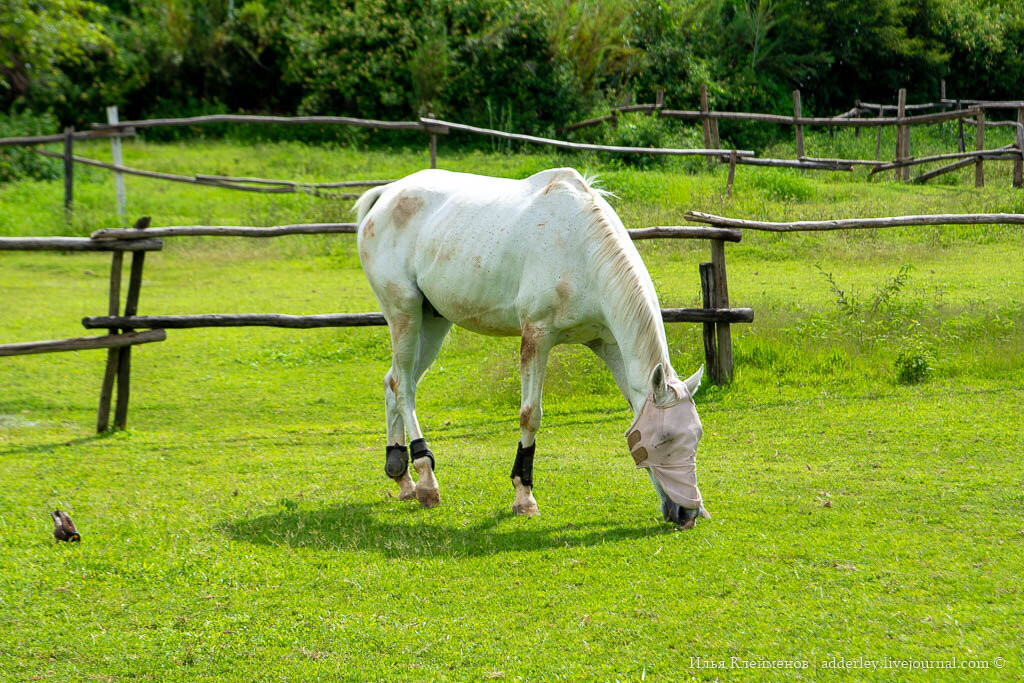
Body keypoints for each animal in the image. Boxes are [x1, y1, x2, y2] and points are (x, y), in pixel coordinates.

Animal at [356, 166, 708, 528]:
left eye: (695, 436)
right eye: (664, 439)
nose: (688, 512)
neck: (581, 247)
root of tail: (386, 195)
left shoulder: (608, 344)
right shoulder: (536, 337)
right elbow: (530, 416)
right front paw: (523, 497)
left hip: (433, 322)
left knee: (395, 382)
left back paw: (403, 479)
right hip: (405, 314)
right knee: (402, 387)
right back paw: (426, 479)